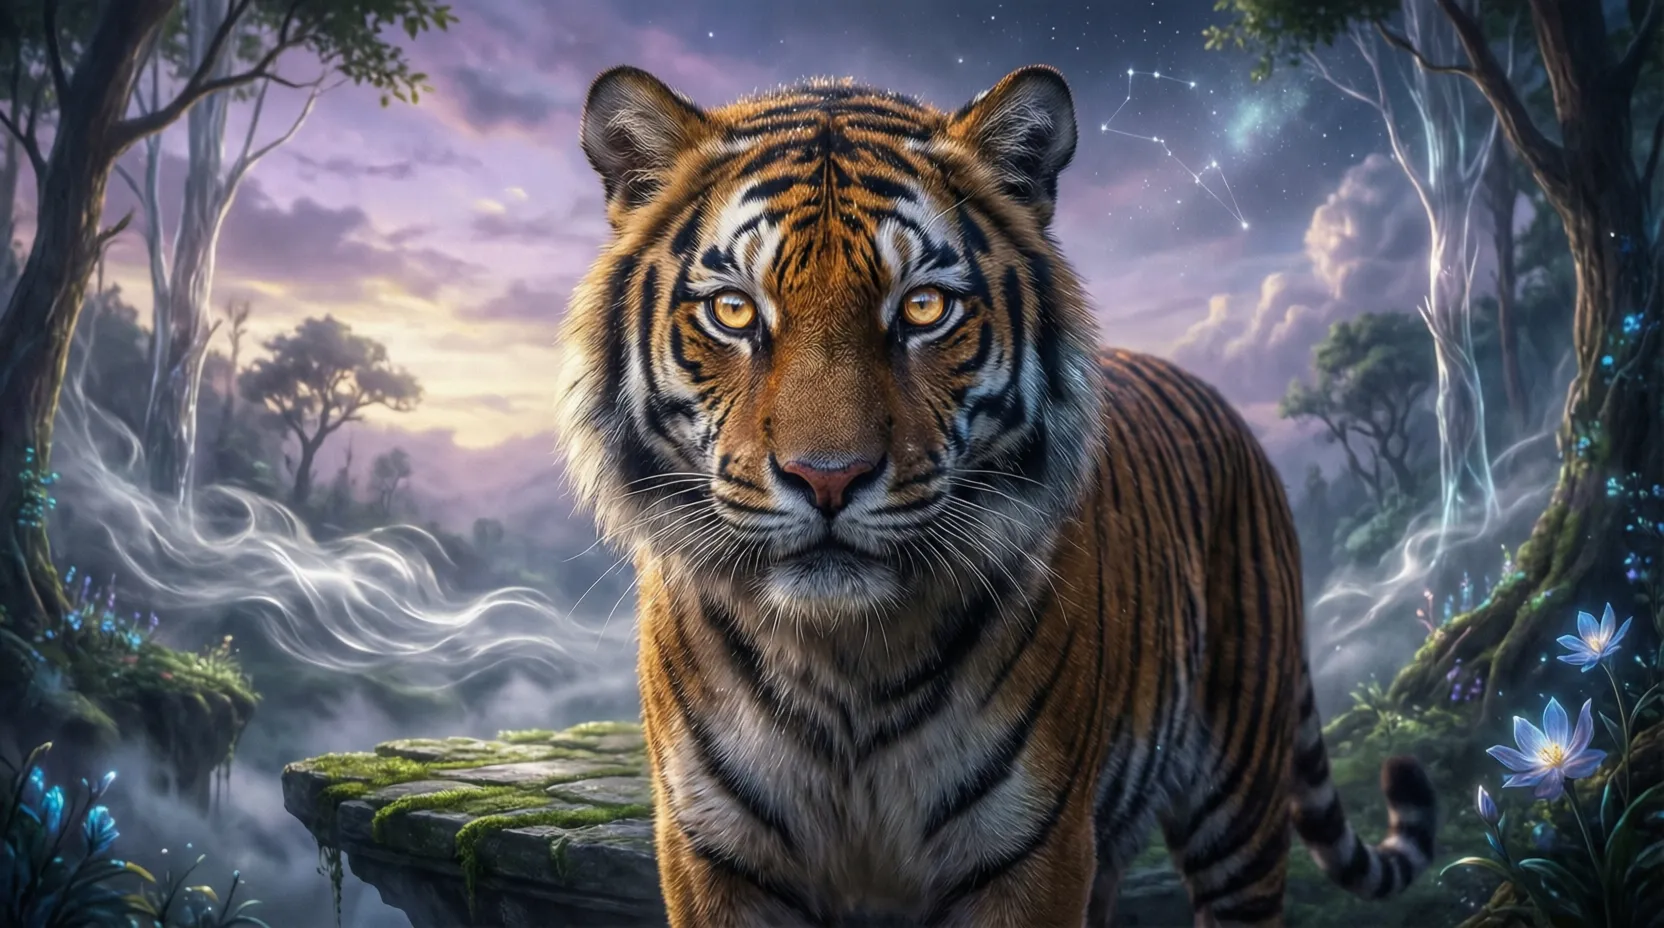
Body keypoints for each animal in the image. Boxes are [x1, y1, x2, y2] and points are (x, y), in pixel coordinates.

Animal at [550, 62, 1437, 928]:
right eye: (734, 310)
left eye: (923, 307)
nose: (828, 477)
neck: (843, 669)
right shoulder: (712, 850)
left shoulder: (1034, 849)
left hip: (1238, 808)